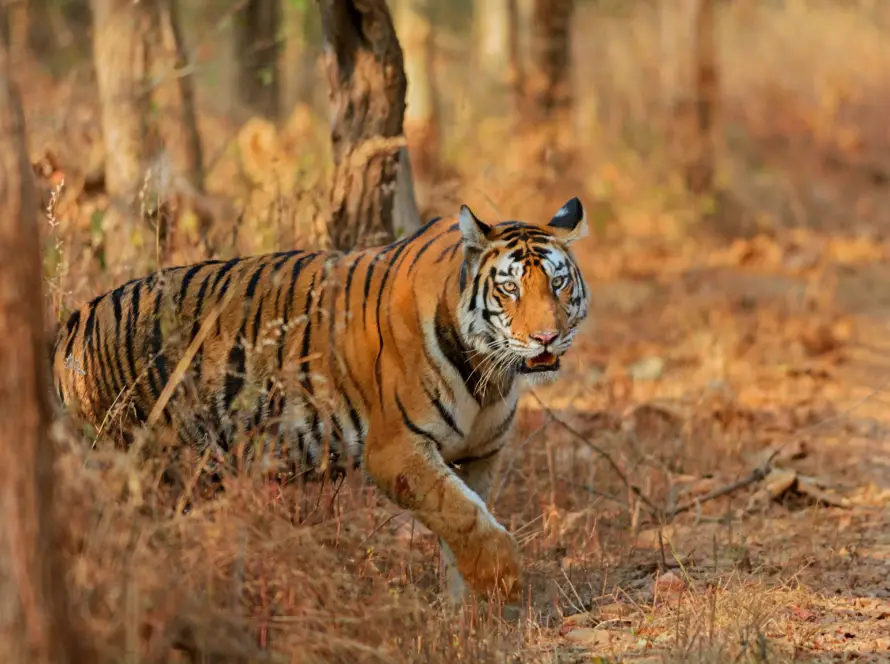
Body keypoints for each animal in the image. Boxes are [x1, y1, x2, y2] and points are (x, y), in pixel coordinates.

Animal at [52, 197, 590, 604]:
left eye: (558, 282)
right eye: (509, 288)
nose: (546, 338)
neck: (487, 373)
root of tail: (70, 324)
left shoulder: (479, 456)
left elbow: (465, 523)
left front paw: (468, 615)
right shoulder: (396, 451)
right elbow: (466, 518)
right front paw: (505, 585)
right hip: (139, 465)